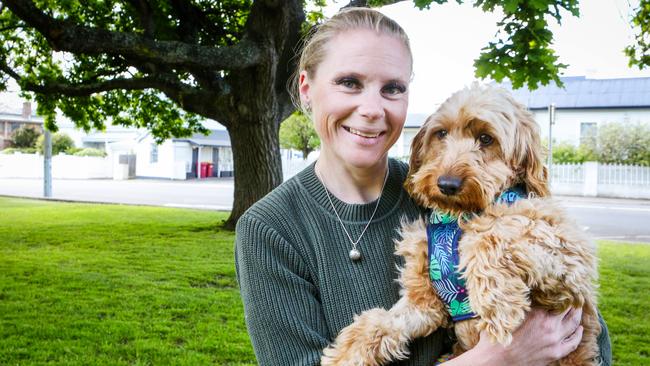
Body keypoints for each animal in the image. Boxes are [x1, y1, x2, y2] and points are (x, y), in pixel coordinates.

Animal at [318, 84, 596, 366]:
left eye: (486, 138)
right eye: (441, 133)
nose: (447, 184)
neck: (456, 217)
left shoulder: (570, 265)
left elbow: (495, 233)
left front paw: (497, 300)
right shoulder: (425, 301)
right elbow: (385, 320)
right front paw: (347, 352)